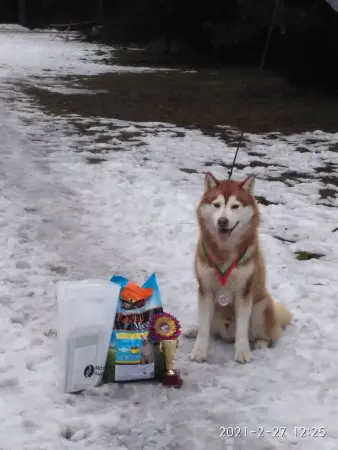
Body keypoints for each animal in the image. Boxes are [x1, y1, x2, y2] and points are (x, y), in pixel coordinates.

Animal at [185, 171, 290, 364]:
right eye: (217, 205)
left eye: (235, 206)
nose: (222, 221)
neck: (224, 252)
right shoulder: (205, 289)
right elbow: (204, 328)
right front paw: (199, 351)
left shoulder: (244, 292)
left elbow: (242, 329)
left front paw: (242, 353)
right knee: (209, 328)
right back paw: (193, 330)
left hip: (261, 307)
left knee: (269, 335)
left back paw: (261, 343)